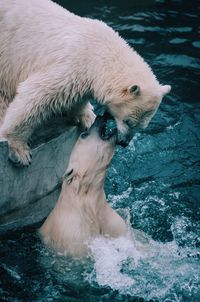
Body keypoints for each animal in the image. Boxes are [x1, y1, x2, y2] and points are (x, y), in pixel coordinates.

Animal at [0, 0, 170, 166]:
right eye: (128, 122)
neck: (99, 52)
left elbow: (75, 97)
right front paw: (19, 151)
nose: (124, 143)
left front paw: (87, 118)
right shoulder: (72, 64)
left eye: (142, 126)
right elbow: (35, 95)